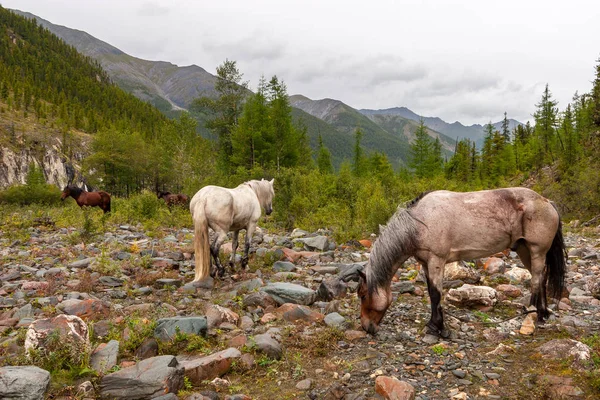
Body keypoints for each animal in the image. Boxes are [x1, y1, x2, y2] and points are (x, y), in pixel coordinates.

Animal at [358, 188, 564, 338]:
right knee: (542, 277)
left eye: (362, 295)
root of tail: (547, 201)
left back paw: (531, 316)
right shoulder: (425, 263)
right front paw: (433, 324)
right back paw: (543, 314)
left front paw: (439, 328)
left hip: (537, 251)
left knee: (536, 280)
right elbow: (432, 293)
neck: (419, 223)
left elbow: (435, 294)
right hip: (524, 250)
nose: (366, 327)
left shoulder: (436, 261)